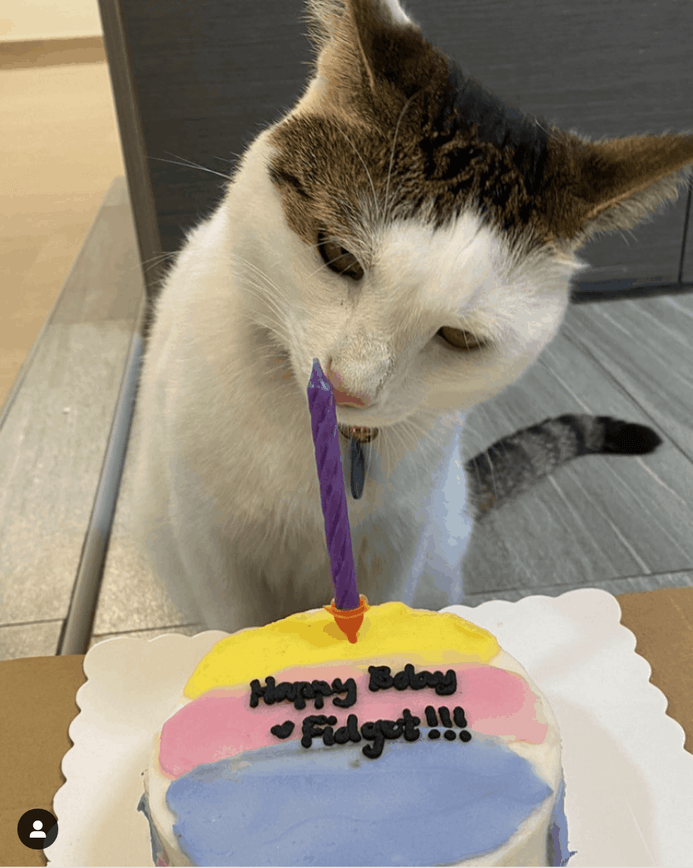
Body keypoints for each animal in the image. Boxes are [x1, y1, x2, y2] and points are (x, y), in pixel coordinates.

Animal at [128, 0, 688, 628]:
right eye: (338, 254)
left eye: (460, 338)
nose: (349, 387)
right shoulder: (213, 549)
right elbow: (239, 625)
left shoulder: (399, 543)